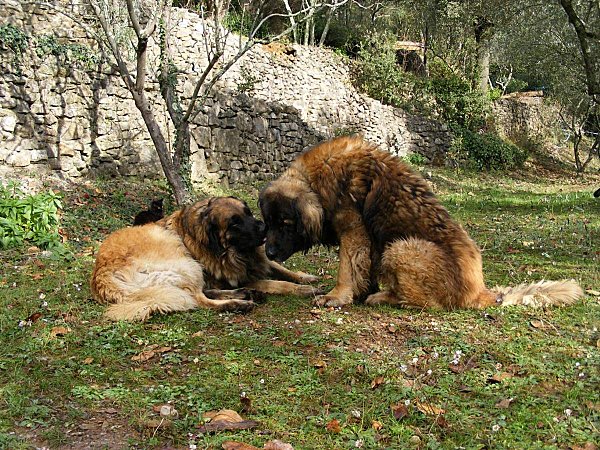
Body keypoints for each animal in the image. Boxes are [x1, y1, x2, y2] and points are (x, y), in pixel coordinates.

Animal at [260, 134, 584, 310]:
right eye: (268, 222)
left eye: (286, 223)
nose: (269, 254)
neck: (316, 181)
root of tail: (479, 290)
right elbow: (362, 268)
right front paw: (357, 291)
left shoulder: (353, 229)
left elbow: (347, 268)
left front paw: (337, 296)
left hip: (402, 248)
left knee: (425, 302)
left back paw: (384, 297)